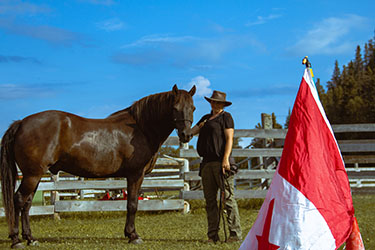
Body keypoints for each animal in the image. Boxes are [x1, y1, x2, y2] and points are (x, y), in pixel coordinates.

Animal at [0, 84, 197, 248]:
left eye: (193, 108)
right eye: (175, 108)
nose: (186, 135)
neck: (141, 129)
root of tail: (21, 123)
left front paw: (129, 234)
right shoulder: (135, 174)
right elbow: (132, 204)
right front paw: (133, 235)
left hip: (34, 175)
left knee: (26, 204)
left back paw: (30, 238)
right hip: (32, 175)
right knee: (19, 200)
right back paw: (17, 240)